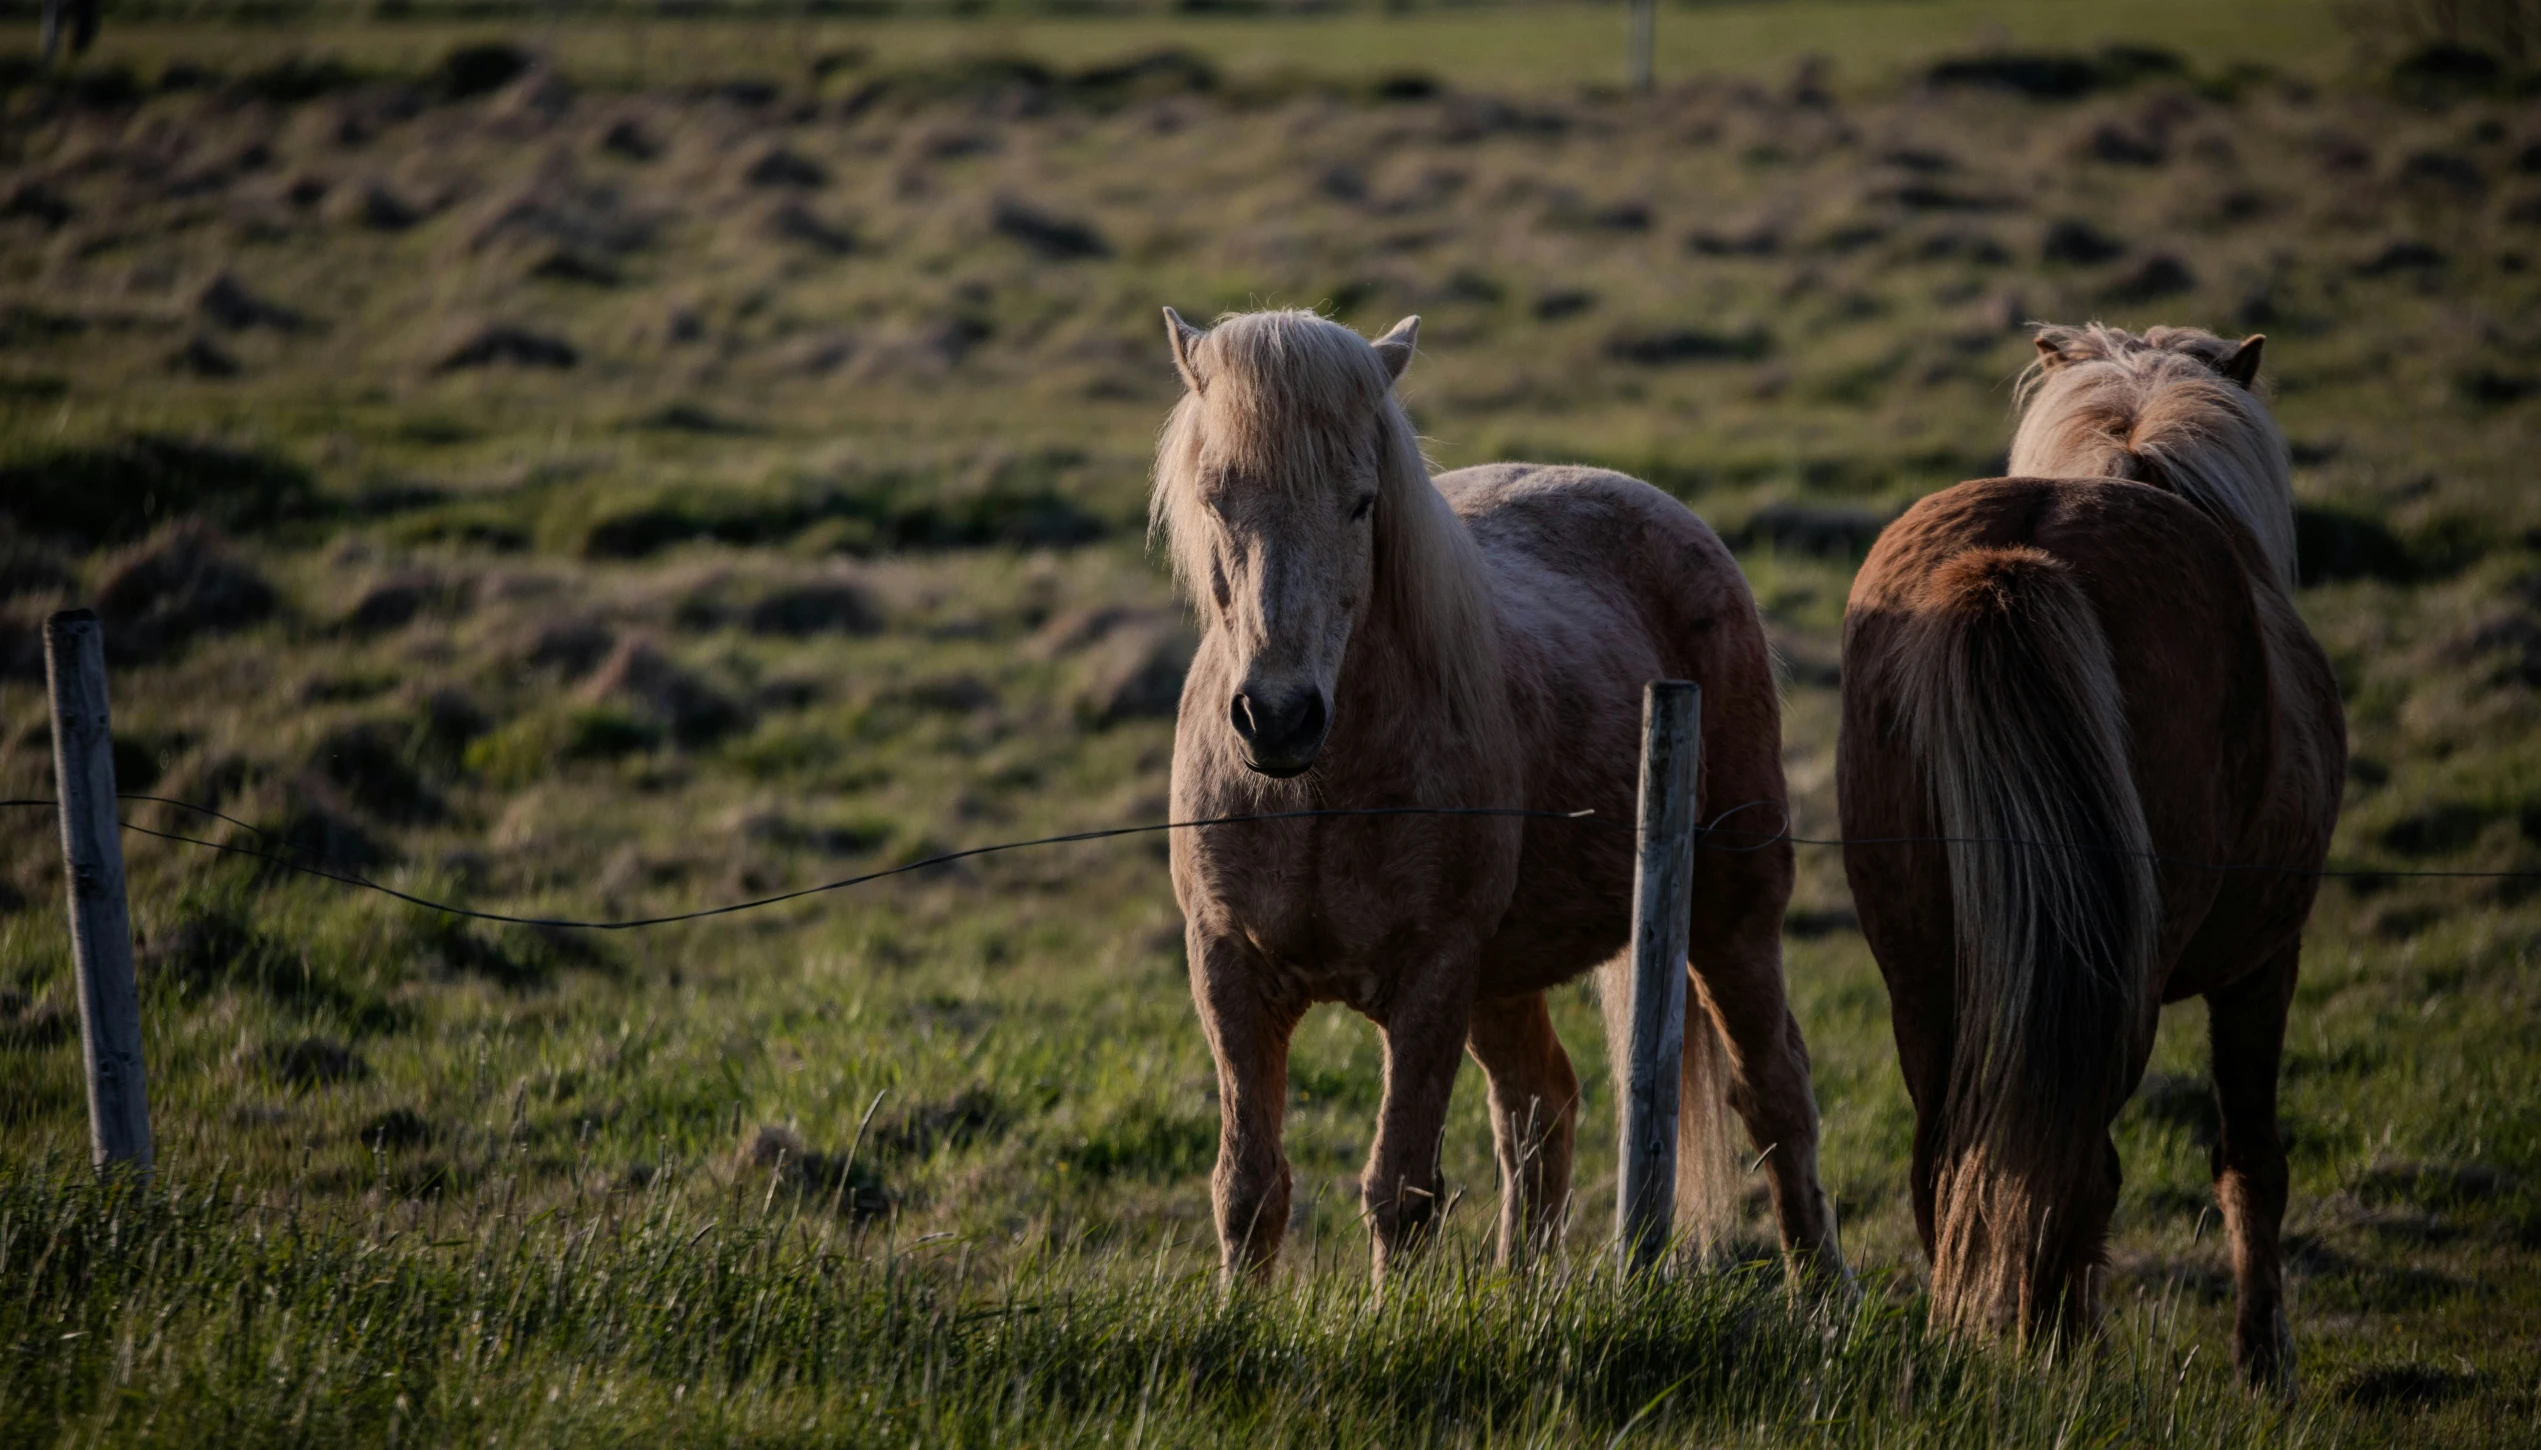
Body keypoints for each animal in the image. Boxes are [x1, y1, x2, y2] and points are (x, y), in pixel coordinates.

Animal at [1158, 305, 1849, 1279]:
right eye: (1217, 497)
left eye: (1361, 501)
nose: (1278, 716)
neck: (1317, 798)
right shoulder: (1227, 969)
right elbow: (1249, 1189)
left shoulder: (1434, 974)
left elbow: (1399, 1189)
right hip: (1505, 975)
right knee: (1539, 1106)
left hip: (1729, 918)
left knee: (1774, 1094)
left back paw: (1823, 1293)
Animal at [1829, 323, 2337, 1391]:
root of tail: (2017, 561)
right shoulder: (2266, 961)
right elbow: (2252, 1161)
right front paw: (2263, 1362)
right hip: (2119, 982)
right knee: (2078, 1165)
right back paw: (2065, 1358)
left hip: (1921, 973)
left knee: (1945, 1162)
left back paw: (1969, 1341)